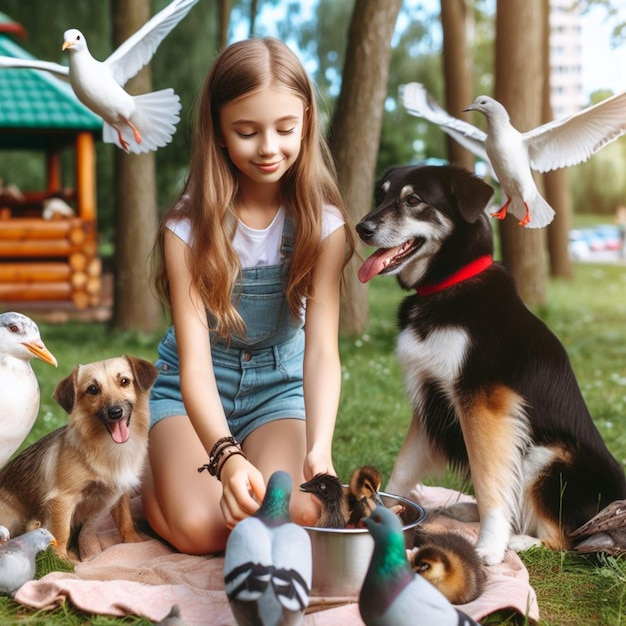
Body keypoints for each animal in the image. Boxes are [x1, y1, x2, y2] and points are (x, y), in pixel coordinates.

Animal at [0, 354, 157, 560]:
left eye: (124, 381)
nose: (115, 412)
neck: (110, 447)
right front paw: (61, 561)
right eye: (93, 389)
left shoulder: (121, 491)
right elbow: (61, 532)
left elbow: (125, 520)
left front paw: (134, 542)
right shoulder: (63, 498)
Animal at [356, 163, 624, 564]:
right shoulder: (430, 399)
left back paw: (518, 540)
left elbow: (489, 479)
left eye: (413, 200)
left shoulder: (481, 402)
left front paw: (489, 545)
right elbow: (403, 470)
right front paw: (385, 509)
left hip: (546, 455)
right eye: (381, 195)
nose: (362, 228)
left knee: (566, 539)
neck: (447, 286)